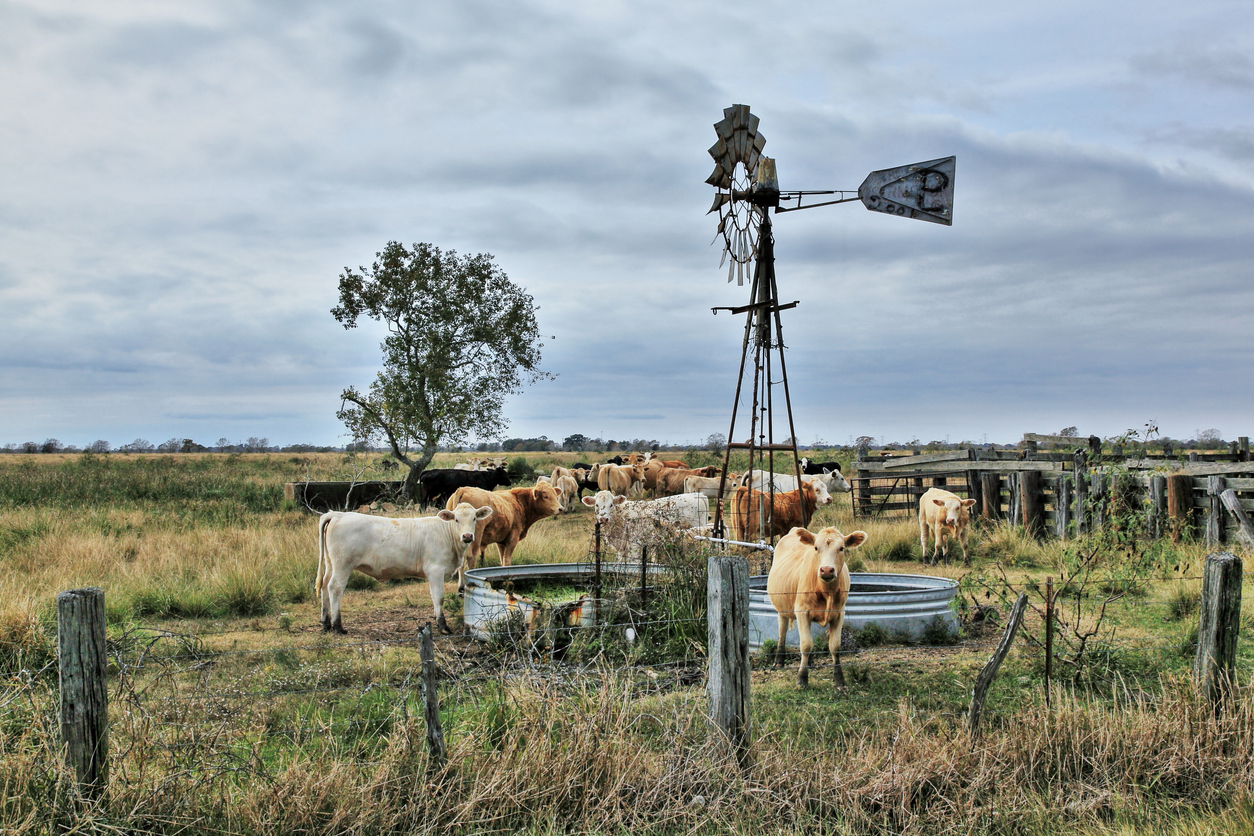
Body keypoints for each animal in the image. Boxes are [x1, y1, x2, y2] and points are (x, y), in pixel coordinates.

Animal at [313, 503, 494, 634]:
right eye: (456, 519)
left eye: (474, 519)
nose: (467, 536)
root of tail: (338, 514)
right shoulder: (435, 570)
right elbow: (439, 598)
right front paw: (442, 626)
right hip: (343, 564)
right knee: (335, 588)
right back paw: (337, 626)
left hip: (331, 564)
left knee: (324, 586)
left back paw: (325, 623)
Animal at [581, 491, 712, 561]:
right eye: (597, 505)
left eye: (611, 504)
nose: (603, 518)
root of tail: (698, 494)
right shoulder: (621, 547)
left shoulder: (634, 545)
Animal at [767, 528, 867, 686]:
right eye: (815, 548)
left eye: (841, 548)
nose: (826, 570)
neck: (826, 591)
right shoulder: (802, 611)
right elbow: (806, 645)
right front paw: (802, 679)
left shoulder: (839, 613)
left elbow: (835, 646)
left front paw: (839, 680)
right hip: (782, 606)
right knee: (782, 631)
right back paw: (779, 661)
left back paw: (810, 662)